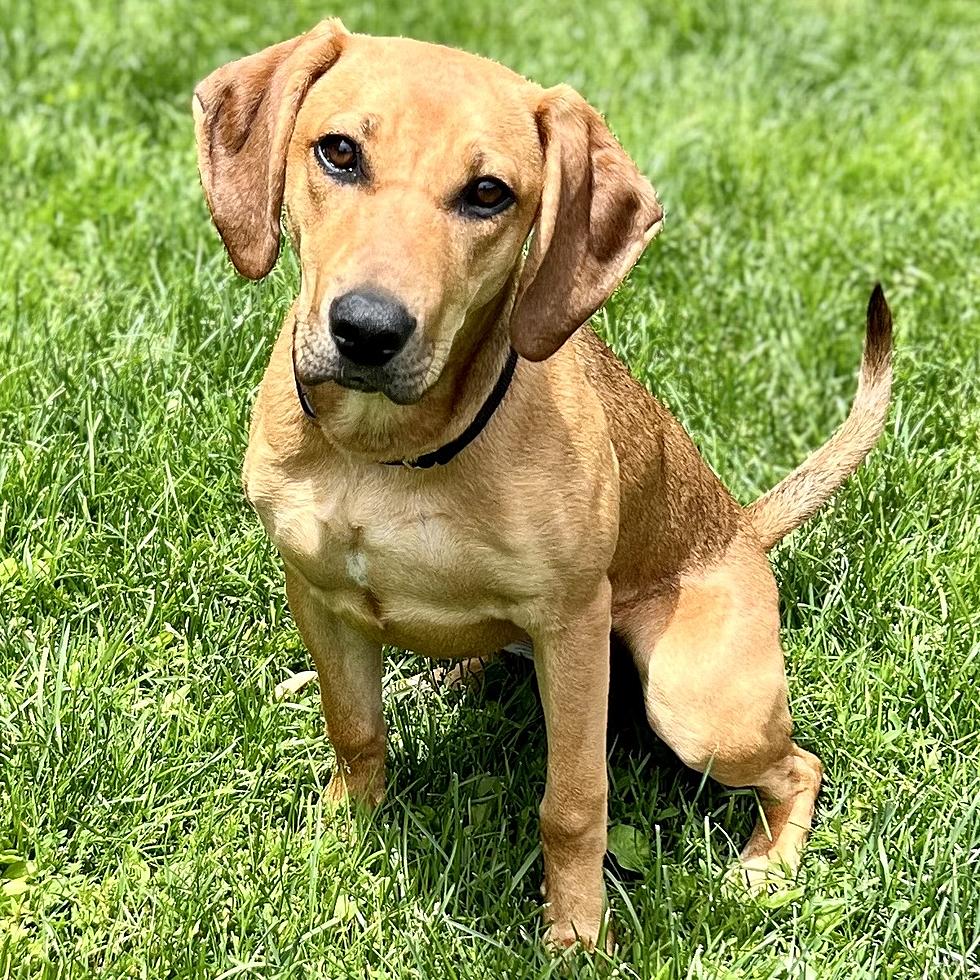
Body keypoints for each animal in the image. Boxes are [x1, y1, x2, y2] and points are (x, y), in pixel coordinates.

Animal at [191, 19, 888, 952]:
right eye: (337, 151)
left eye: (489, 193)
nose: (367, 330)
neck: (389, 455)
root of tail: (742, 526)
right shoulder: (315, 589)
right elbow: (355, 728)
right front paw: (344, 830)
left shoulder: (572, 625)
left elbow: (573, 803)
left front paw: (576, 933)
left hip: (696, 703)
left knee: (800, 764)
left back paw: (767, 866)